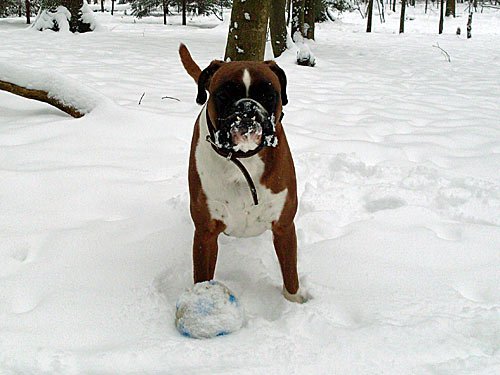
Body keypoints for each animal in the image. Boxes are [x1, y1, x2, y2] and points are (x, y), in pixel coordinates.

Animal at [180, 44, 304, 304]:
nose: (246, 108)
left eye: (268, 94)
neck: (244, 158)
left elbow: (290, 274)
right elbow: (203, 275)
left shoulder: (284, 227)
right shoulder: (205, 234)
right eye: (224, 94)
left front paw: (294, 302)